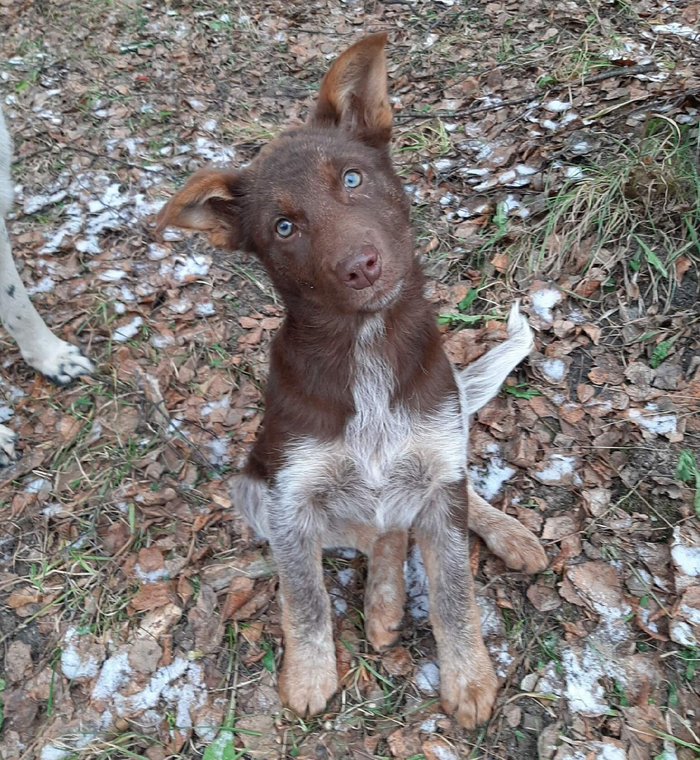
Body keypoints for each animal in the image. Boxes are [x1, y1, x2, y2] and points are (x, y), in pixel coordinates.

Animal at [159, 32, 548, 728]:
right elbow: (305, 597)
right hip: (251, 488)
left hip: (441, 448)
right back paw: (385, 600)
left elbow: (455, 590)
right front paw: (309, 674)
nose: (361, 266)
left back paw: (502, 536)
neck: (365, 348)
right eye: (284, 227)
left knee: (433, 504)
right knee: (379, 534)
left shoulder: (437, 465)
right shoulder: (288, 500)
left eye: (352, 178)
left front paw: (469, 678)